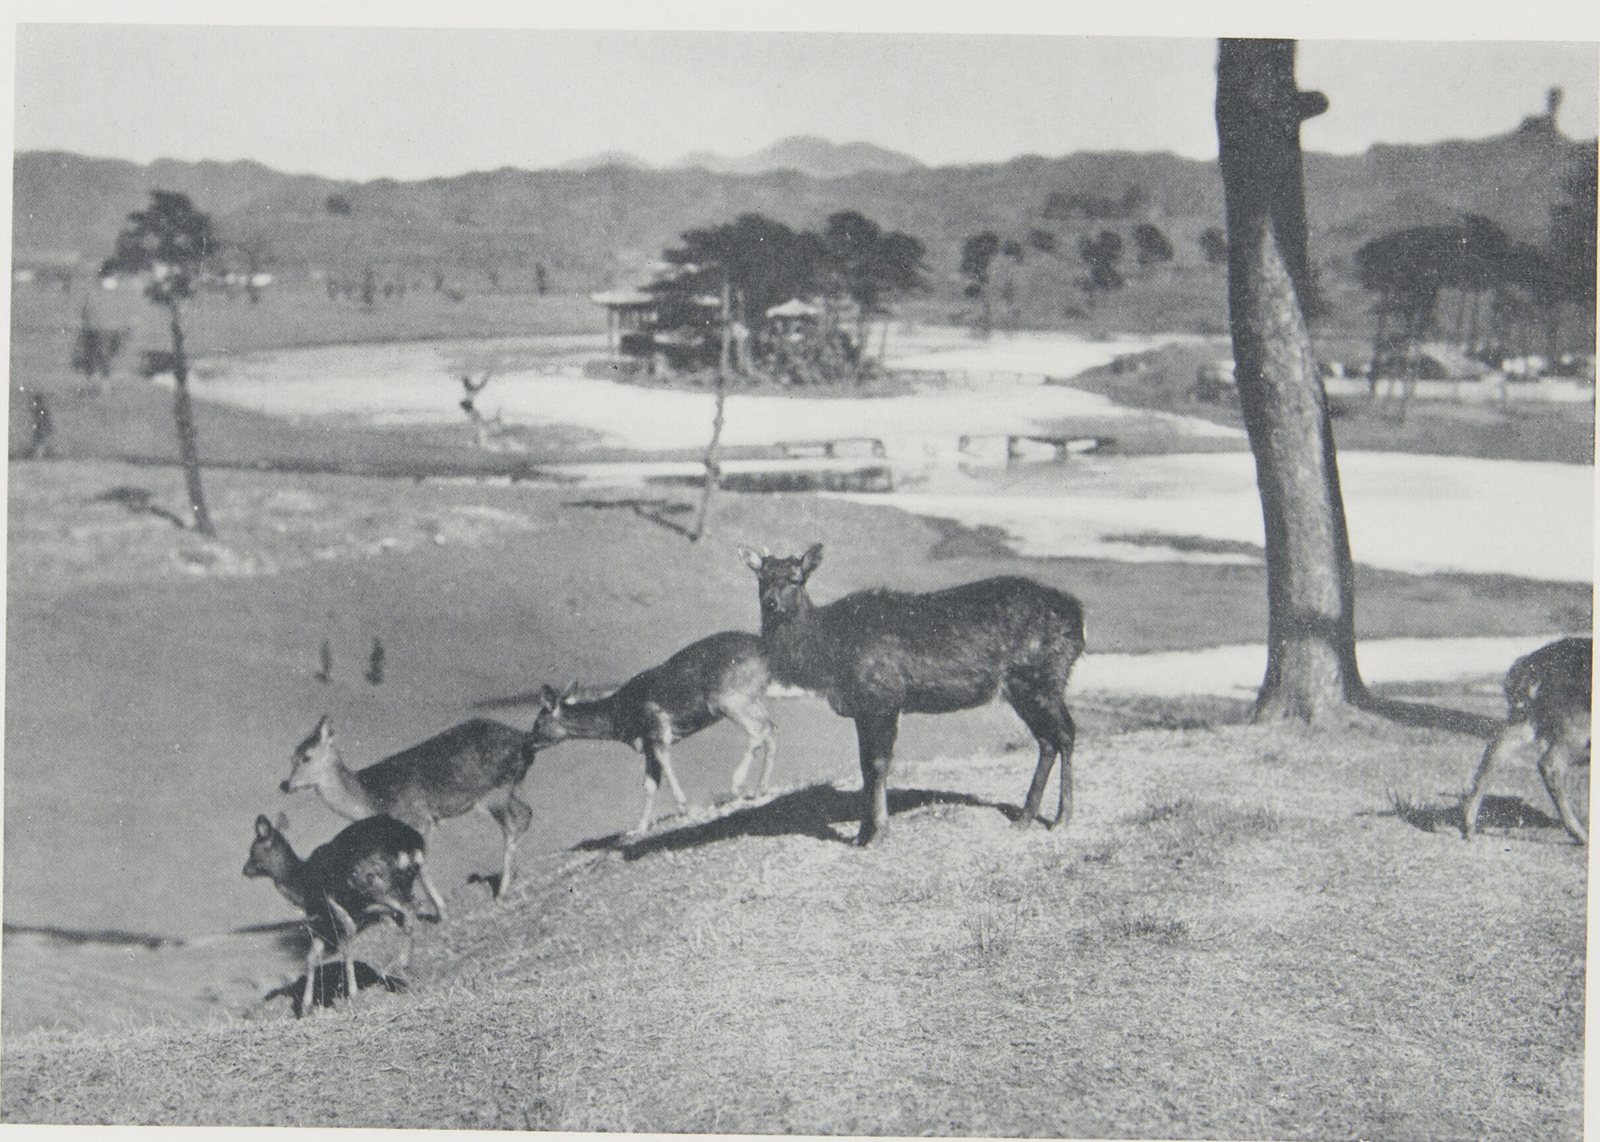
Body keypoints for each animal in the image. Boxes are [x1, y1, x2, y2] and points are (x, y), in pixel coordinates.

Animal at [243, 812, 437, 1017]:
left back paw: (401, 963)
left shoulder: (332, 905)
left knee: (408, 909)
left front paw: (353, 994)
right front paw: (306, 1007)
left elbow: (344, 942)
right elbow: (312, 957)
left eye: (253, 850)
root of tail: (411, 843)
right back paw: (407, 971)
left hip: (376, 884)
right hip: (405, 882)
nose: (245, 869)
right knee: (412, 908)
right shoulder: (332, 918)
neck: (302, 884)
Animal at [281, 716, 538, 915]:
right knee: (526, 814)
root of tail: (524, 739)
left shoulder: (417, 818)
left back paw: (502, 892)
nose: (286, 785)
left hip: (494, 792)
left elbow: (421, 865)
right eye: (291, 757)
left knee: (512, 825)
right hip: (508, 789)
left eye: (306, 757)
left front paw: (441, 911)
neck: (369, 797)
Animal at [530, 631, 776, 837]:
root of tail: (766, 650)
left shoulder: (656, 727)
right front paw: (639, 828)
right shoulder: (647, 743)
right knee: (771, 727)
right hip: (748, 698)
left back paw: (737, 784)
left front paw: (684, 807)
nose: (530, 743)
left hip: (730, 698)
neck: (619, 716)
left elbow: (665, 763)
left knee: (758, 731)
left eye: (538, 723)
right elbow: (649, 784)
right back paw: (761, 788)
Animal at [740, 543, 1085, 846]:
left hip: (1043, 677)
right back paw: (1025, 817)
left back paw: (1063, 818)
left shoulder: (883, 697)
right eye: (761, 578)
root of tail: (1077, 616)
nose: (771, 604)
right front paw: (861, 833)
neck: (828, 658)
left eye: (795, 579)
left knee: (1066, 733)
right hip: (1022, 688)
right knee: (1047, 740)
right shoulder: (861, 708)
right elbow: (864, 766)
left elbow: (878, 764)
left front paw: (878, 833)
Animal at [1462, 635, 1592, 845]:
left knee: (1496, 750)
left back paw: (1469, 826)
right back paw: (1581, 835)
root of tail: (1529, 665)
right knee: (1551, 763)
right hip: (1576, 722)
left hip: (1526, 717)